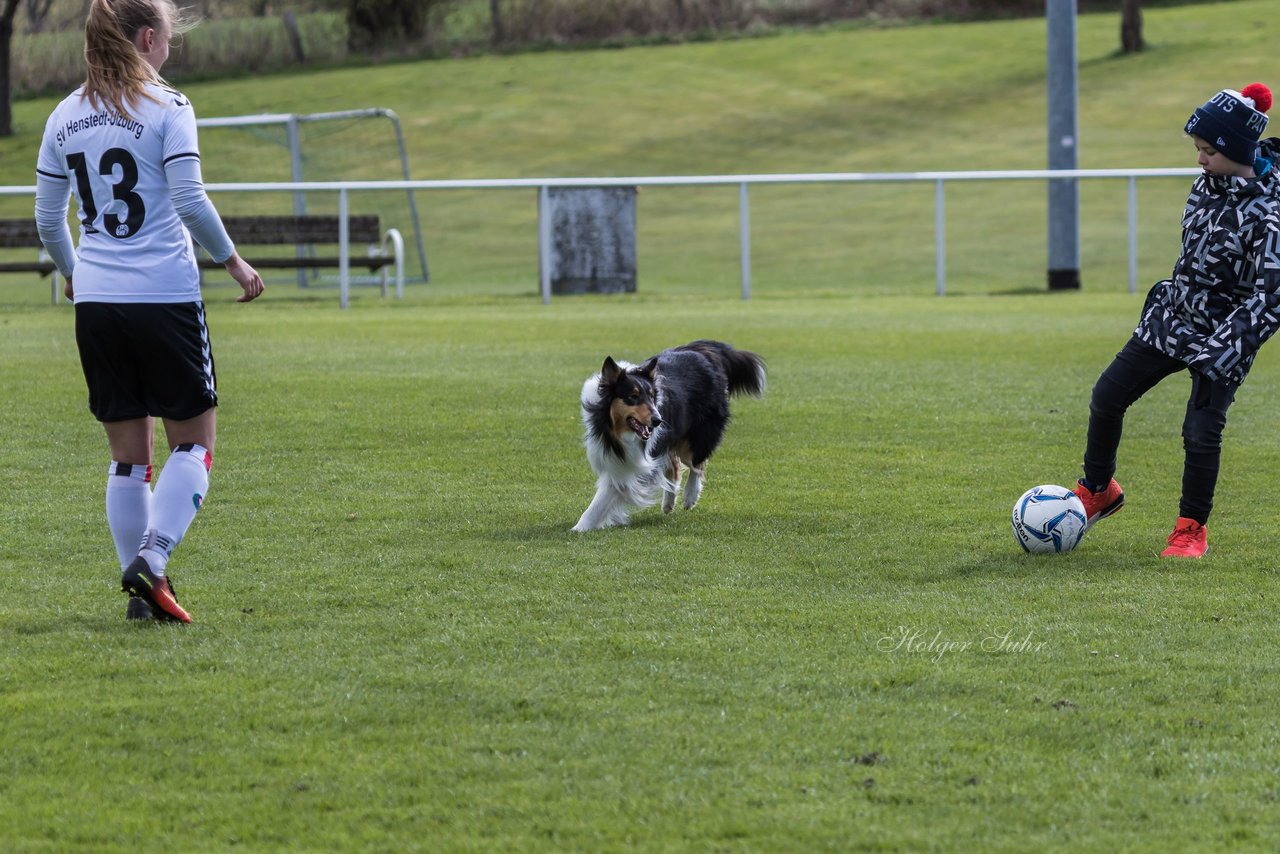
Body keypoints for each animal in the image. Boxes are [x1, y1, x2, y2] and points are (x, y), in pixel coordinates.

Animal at [573, 338, 762, 527]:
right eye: (633, 397)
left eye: (651, 396)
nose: (658, 420)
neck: (616, 433)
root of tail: (702, 350)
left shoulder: (640, 464)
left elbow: (604, 498)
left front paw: (580, 527)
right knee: (675, 467)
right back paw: (669, 503)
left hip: (695, 438)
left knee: (697, 463)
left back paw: (690, 496)